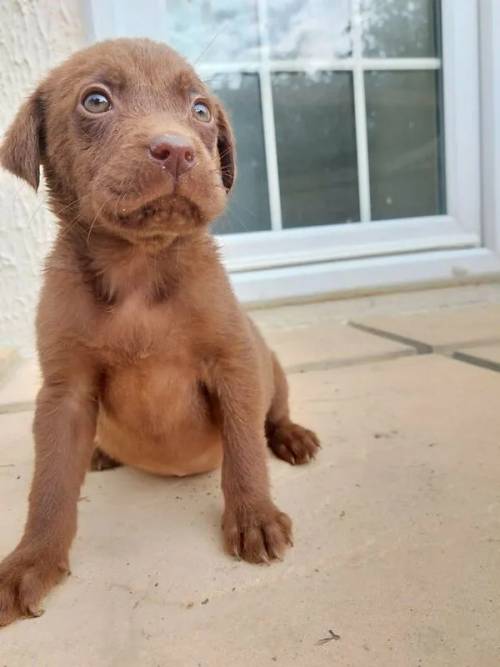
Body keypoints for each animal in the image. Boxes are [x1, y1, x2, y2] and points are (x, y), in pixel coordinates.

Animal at [0, 39, 320, 628]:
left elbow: (244, 450)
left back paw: (291, 436)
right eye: (96, 100)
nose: (177, 150)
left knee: (272, 414)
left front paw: (255, 518)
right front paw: (32, 561)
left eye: (200, 111)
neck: (138, 270)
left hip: (272, 364)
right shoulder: (64, 393)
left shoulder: (235, 364)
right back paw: (100, 452)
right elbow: (49, 486)